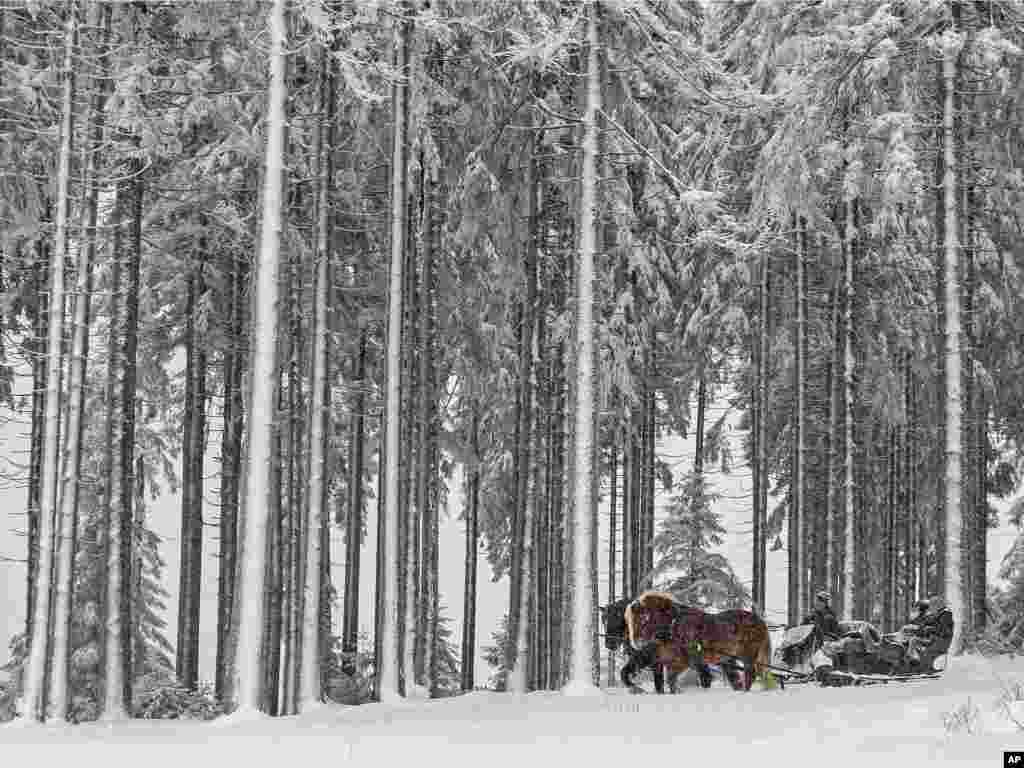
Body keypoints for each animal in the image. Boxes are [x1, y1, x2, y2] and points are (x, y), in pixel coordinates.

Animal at [614, 593, 770, 696]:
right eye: (629, 621)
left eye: (643, 618)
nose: (636, 643)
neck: (672, 625)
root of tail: (761, 622)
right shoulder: (670, 661)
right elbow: (670, 680)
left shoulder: (689, 659)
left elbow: (700, 678)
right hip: (729, 659)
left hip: (748, 655)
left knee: (751, 674)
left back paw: (745, 692)